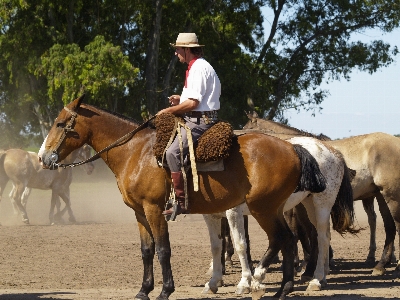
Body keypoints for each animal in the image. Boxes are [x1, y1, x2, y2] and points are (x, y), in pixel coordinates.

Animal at [36, 96, 324, 300]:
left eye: (60, 123)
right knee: (288, 240)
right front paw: (144, 290)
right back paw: (282, 289)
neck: (136, 152)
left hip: (263, 208)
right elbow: (147, 250)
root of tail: (293, 148)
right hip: (272, 209)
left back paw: (272, 285)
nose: (42, 157)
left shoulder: (154, 209)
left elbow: (163, 250)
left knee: (285, 239)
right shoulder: (139, 212)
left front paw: (165, 290)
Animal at [203, 137, 356, 298]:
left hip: (322, 204)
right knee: (324, 236)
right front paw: (213, 282)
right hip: (309, 205)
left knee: (322, 238)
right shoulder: (211, 216)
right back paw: (322, 277)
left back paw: (316, 279)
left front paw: (244, 283)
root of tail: (333, 151)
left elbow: (240, 245)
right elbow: (216, 247)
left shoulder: (234, 212)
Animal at [242, 113, 400, 276]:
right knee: (388, 226)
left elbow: (303, 231)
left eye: (246, 127)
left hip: (390, 196)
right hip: (381, 196)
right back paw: (381, 264)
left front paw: (305, 265)